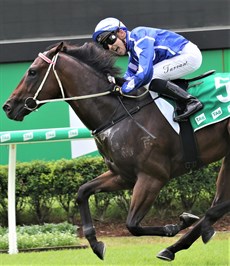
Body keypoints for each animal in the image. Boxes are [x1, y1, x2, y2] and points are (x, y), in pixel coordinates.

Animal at [2, 42, 230, 260]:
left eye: (32, 72)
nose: (8, 106)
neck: (117, 113)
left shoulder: (152, 177)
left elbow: (132, 225)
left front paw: (176, 224)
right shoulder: (123, 175)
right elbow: (82, 192)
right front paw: (95, 244)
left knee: (218, 206)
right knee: (219, 203)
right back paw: (177, 245)